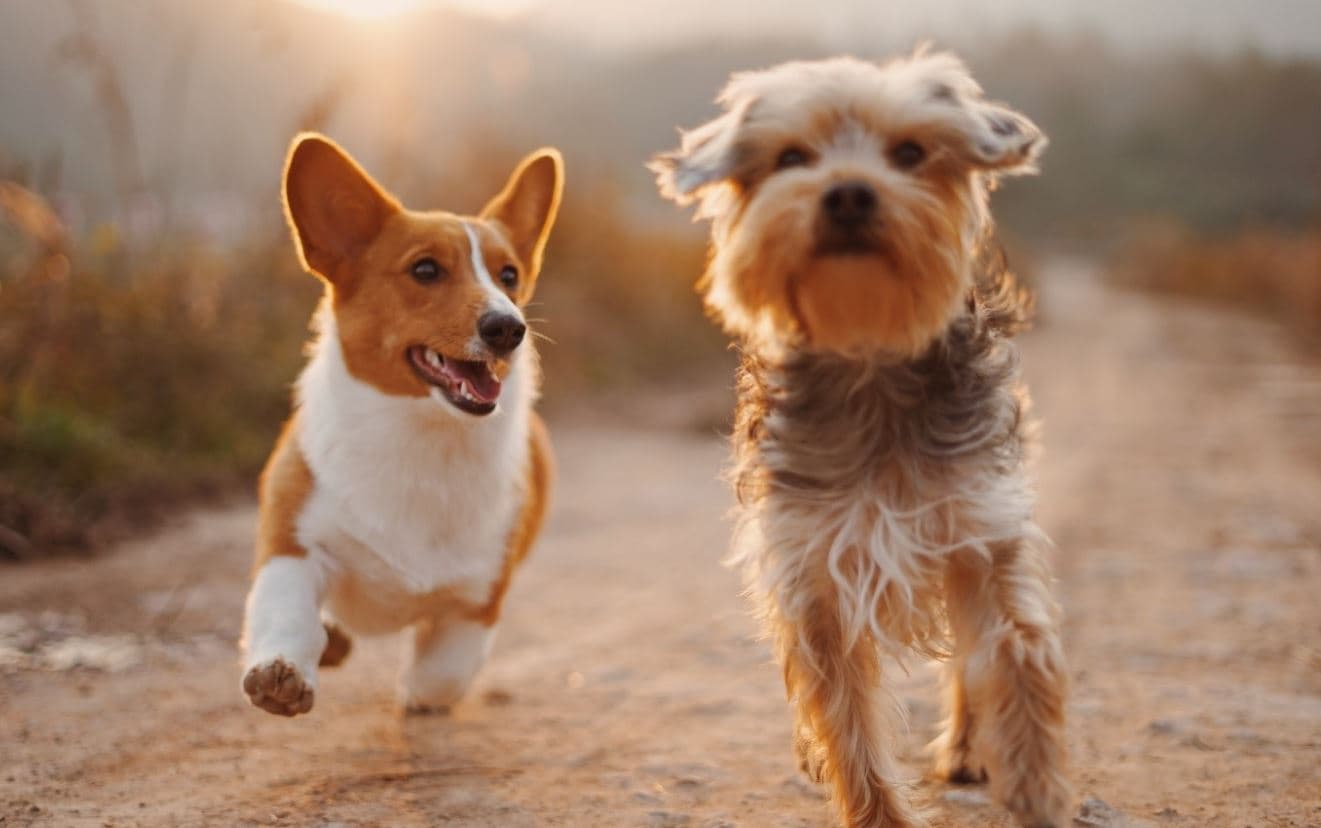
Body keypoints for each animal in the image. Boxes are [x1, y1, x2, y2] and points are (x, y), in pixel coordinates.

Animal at [649, 51, 1072, 828]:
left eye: (909, 153)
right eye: (791, 157)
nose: (847, 193)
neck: (869, 355)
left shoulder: (981, 529)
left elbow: (1018, 651)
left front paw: (1036, 788)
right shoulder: (812, 568)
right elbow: (844, 716)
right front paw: (875, 807)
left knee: (967, 661)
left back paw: (968, 748)